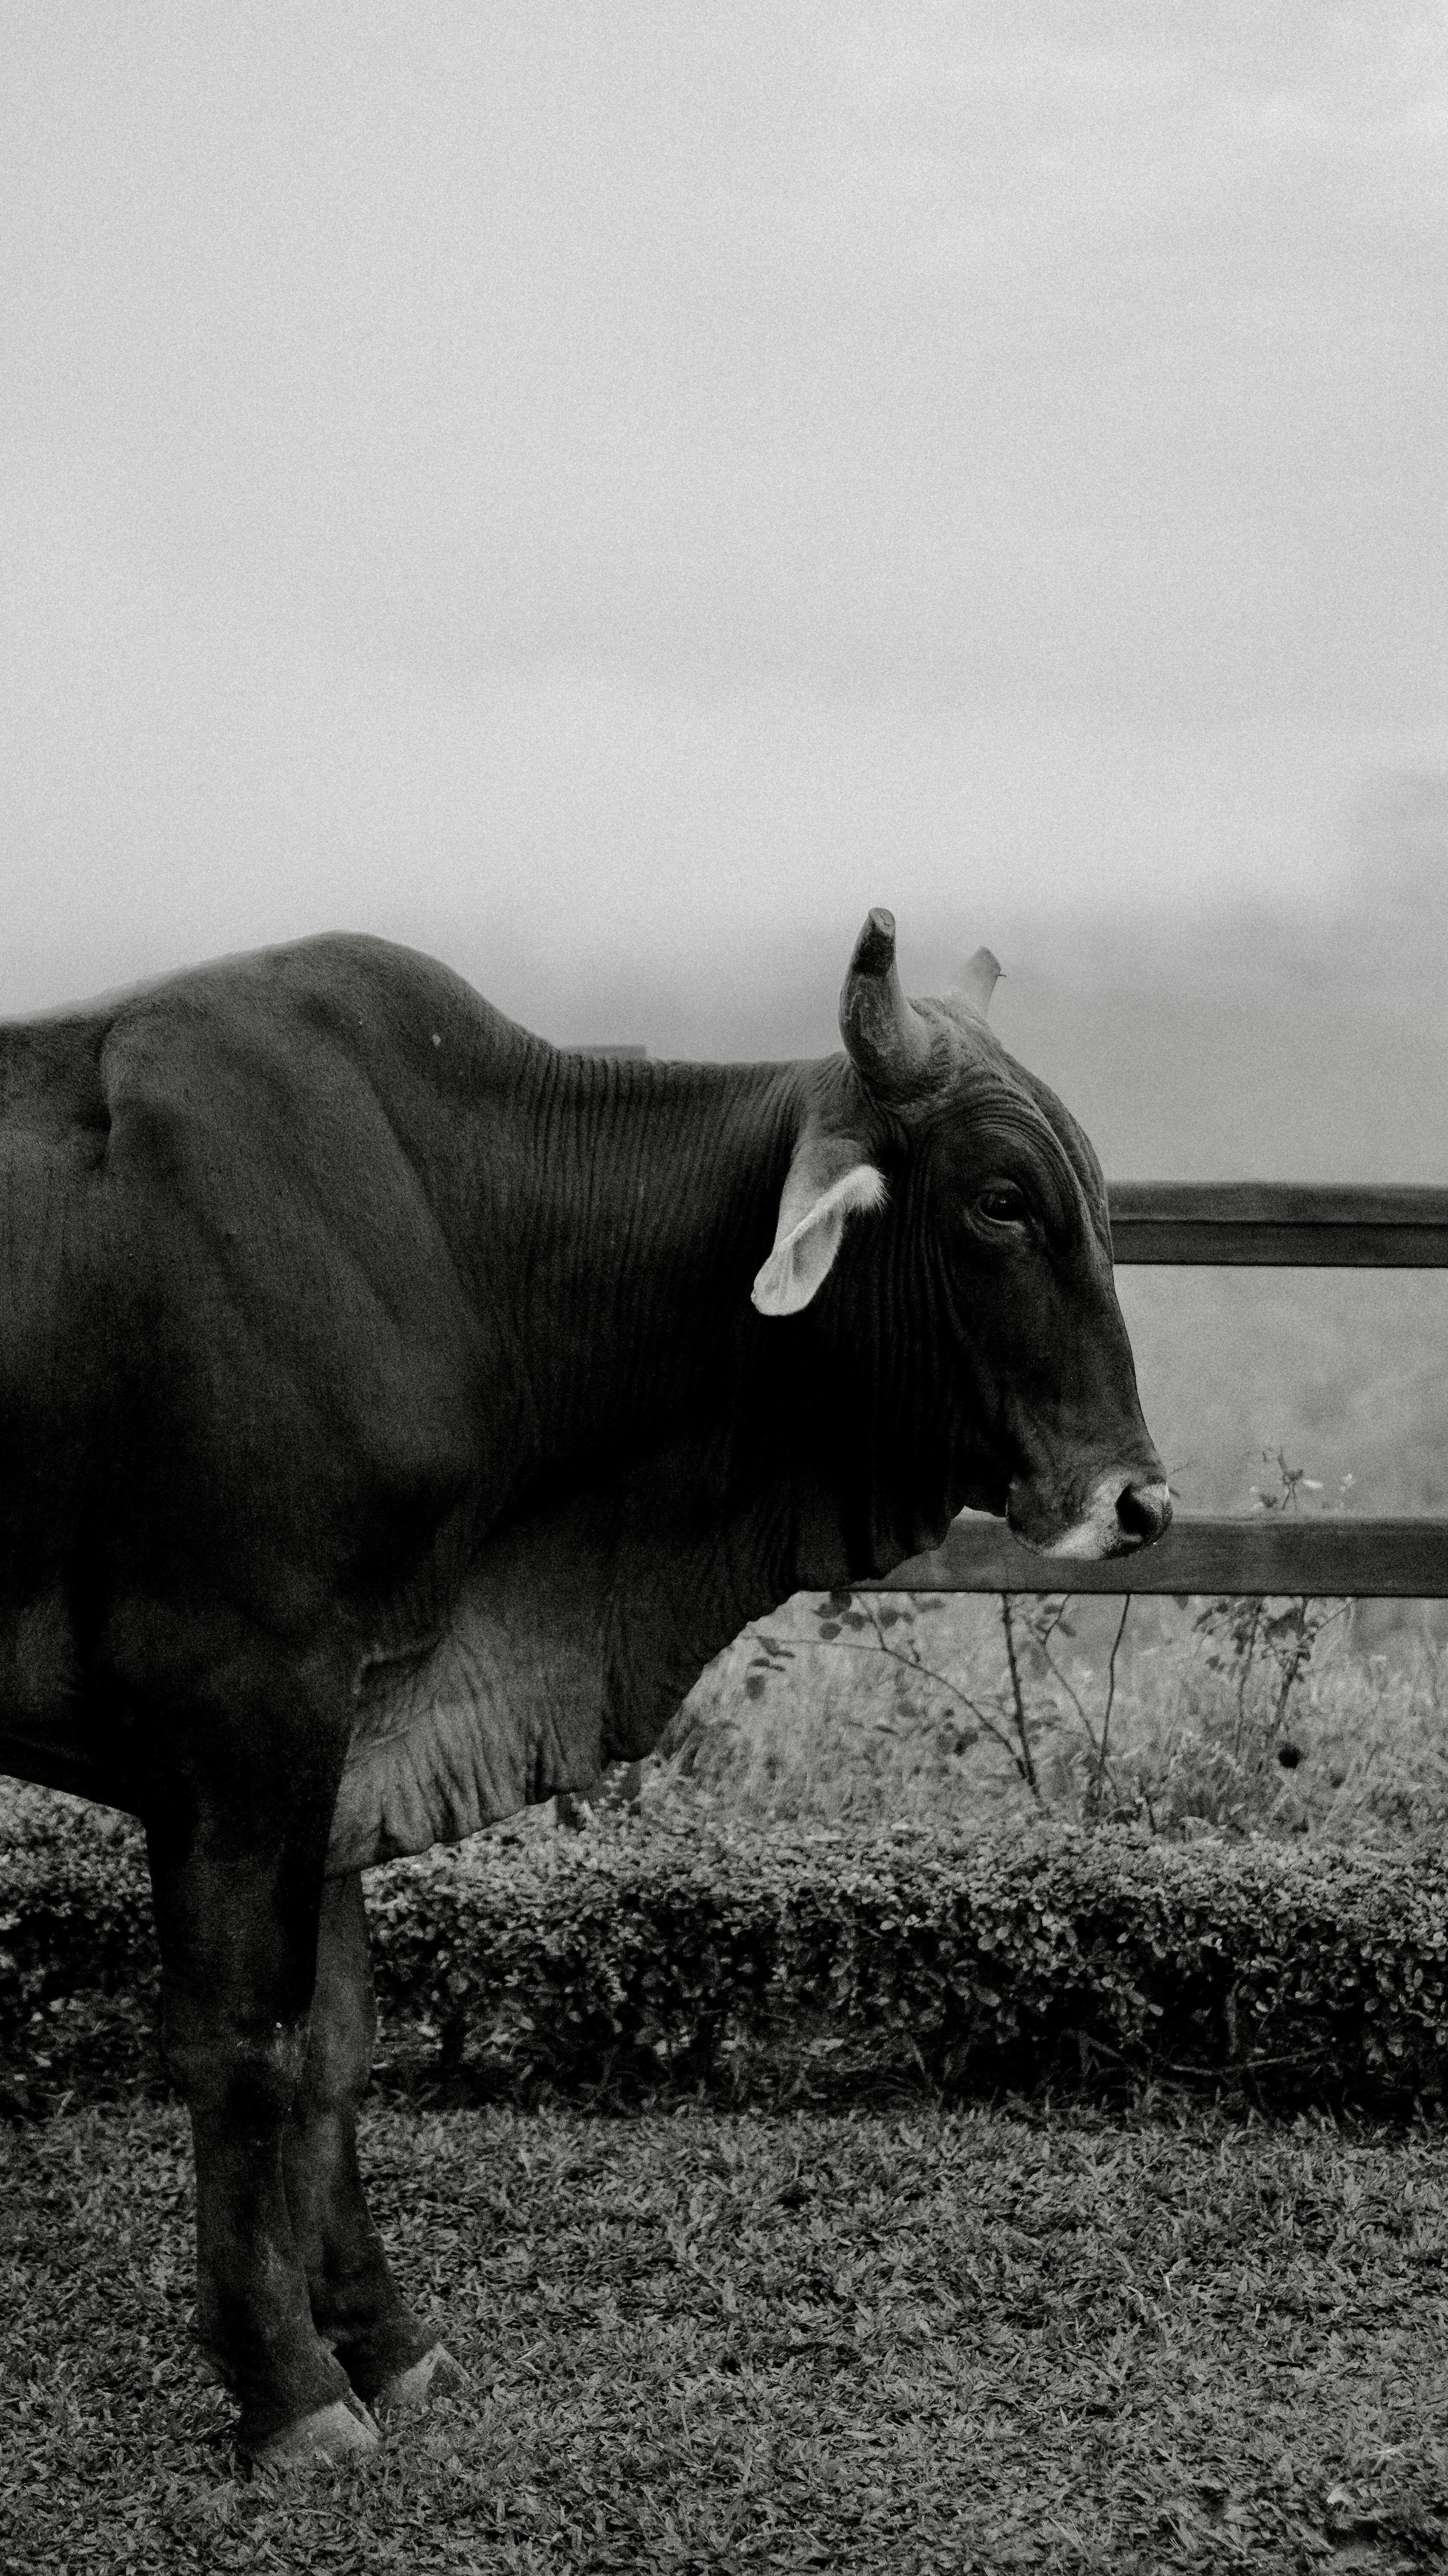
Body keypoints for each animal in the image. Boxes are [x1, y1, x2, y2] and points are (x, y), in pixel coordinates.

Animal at [0, 908, 1169, 2463]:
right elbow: (241, 2042)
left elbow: (337, 2042)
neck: (468, 1237)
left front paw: (384, 2341)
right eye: (998, 1202)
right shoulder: (243, 1703)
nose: (1140, 1503)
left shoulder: (356, 1711)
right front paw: (287, 2386)